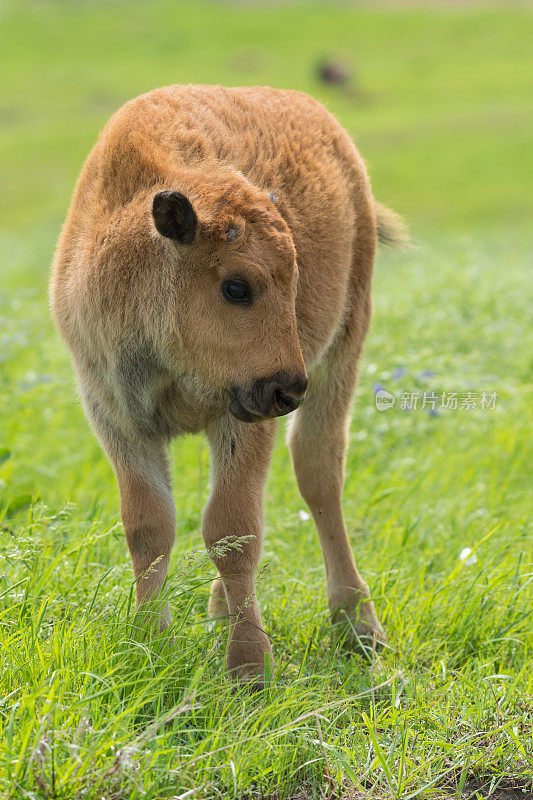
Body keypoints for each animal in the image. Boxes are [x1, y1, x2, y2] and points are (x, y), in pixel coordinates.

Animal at [52, 86, 406, 680]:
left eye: (295, 280)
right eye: (236, 286)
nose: (288, 389)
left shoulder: (241, 419)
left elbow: (231, 530)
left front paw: (249, 668)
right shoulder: (115, 416)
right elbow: (148, 528)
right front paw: (148, 642)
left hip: (343, 348)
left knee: (320, 477)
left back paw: (357, 624)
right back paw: (223, 607)